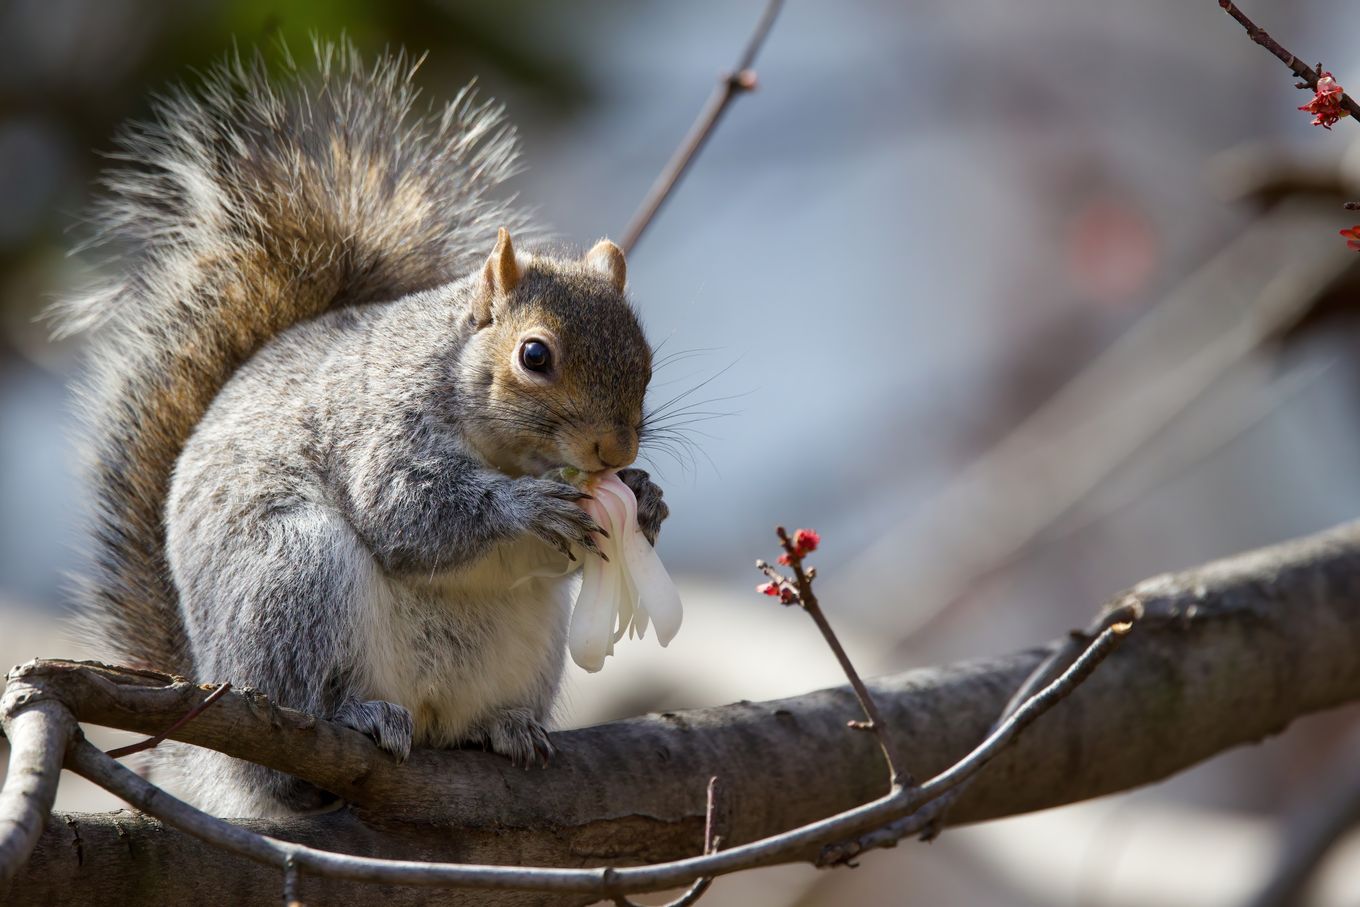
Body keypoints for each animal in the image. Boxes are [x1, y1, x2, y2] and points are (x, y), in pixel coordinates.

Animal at [52, 46, 670, 818]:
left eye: (647, 360)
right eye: (535, 355)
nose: (615, 451)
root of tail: (220, 759)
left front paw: (646, 499)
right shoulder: (380, 427)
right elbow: (404, 510)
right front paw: (527, 505)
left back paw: (504, 727)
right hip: (293, 576)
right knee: (304, 708)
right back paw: (356, 716)